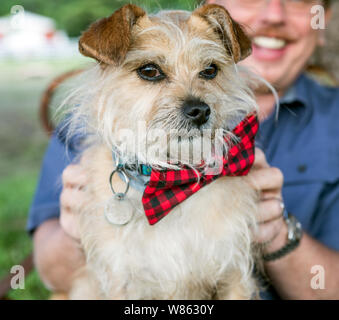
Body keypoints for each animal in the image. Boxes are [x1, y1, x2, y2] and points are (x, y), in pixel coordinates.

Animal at [67, 3, 262, 300]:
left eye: (210, 70)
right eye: (150, 71)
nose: (200, 110)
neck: (174, 182)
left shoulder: (234, 271)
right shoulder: (121, 279)